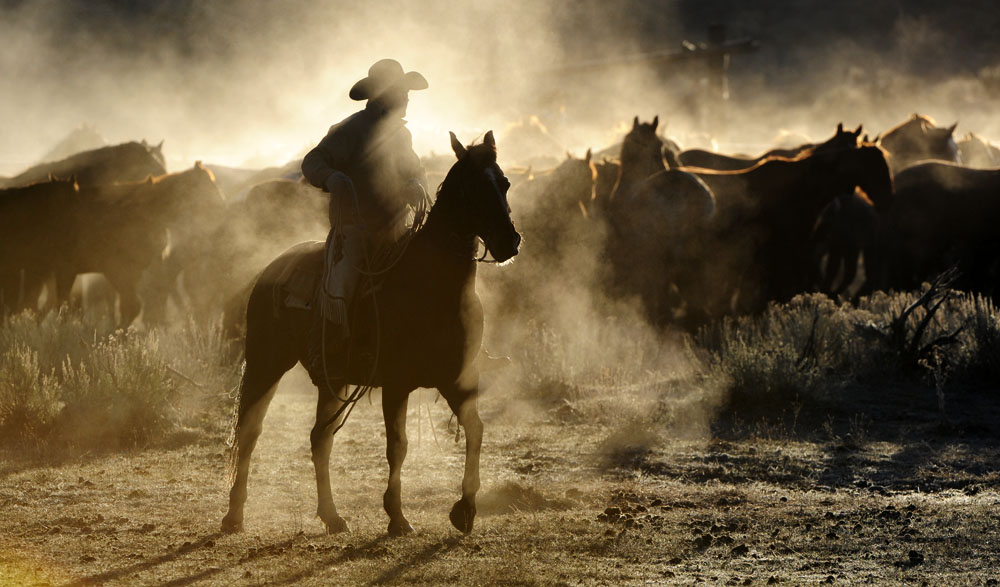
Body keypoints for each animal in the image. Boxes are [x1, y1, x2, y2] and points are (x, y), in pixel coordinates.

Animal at [225, 132, 524, 536]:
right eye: (472, 187)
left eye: (504, 183)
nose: (510, 242)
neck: (433, 285)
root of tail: (271, 268)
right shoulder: (396, 384)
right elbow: (398, 445)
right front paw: (397, 516)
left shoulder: (456, 378)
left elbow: (475, 430)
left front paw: (465, 509)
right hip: (266, 363)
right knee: (250, 431)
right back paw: (234, 515)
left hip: (332, 380)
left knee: (319, 439)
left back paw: (332, 516)